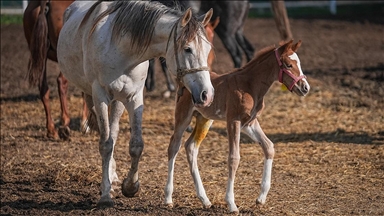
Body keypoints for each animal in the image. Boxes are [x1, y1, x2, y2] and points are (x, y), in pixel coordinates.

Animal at [23, 0, 88, 139]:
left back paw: (51, 130)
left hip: (41, 56)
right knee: (61, 82)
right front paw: (85, 123)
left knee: (43, 88)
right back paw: (65, 124)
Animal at [57, 0, 214, 208]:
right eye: (187, 49)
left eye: (209, 49)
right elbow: (105, 144)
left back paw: (113, 176)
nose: (207, 94)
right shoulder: (100, 95)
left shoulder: (134, 97)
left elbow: (136, 145)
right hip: (93, 95)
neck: (123, 50)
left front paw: (130, 186)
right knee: (106, 136)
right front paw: (105, 194)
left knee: (113, 132)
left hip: (118, 101)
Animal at [164, 39, 308, 212]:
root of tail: (184, 80)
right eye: (288, 64)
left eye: (299, 63)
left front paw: (261, 198)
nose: (305, 88)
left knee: (191, 147)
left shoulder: (249, 123)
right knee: (174, 146)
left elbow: (269, 147)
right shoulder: (234, 120)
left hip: (204, 119)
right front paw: (231, 204)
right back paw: (168, 198)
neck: (250, 85)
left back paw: (205, 200)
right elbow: (234, 158)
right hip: (183, 116)